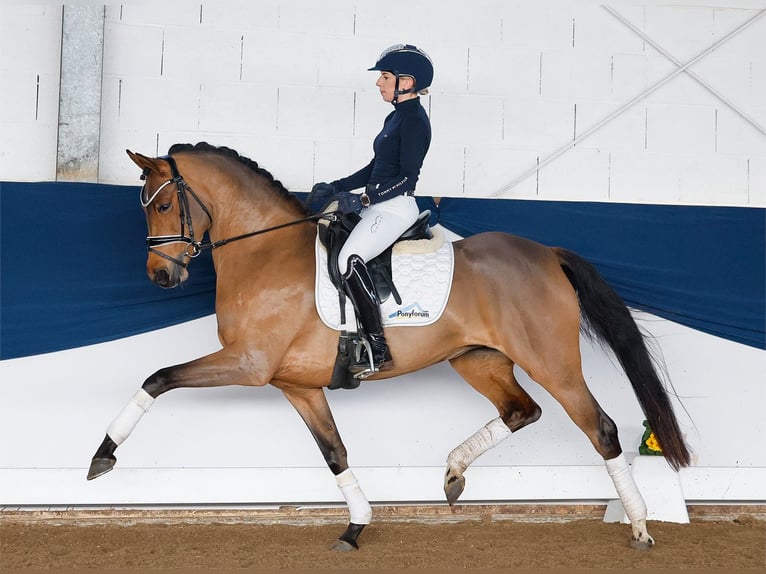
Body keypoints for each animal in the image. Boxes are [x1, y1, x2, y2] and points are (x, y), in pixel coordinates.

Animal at [87, 142, 692, 552]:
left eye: (163, 207)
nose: (161, 277)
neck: (264, 253)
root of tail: (545, 253)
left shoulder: (249, 364)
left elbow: (158, 378)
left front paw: (102, 456)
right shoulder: (296, 384)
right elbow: (335, 452)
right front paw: (356, 526)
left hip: (552, 362)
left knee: (600, 427)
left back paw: (640, 526)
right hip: (477, 359)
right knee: (522, 410)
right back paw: (453, 473)